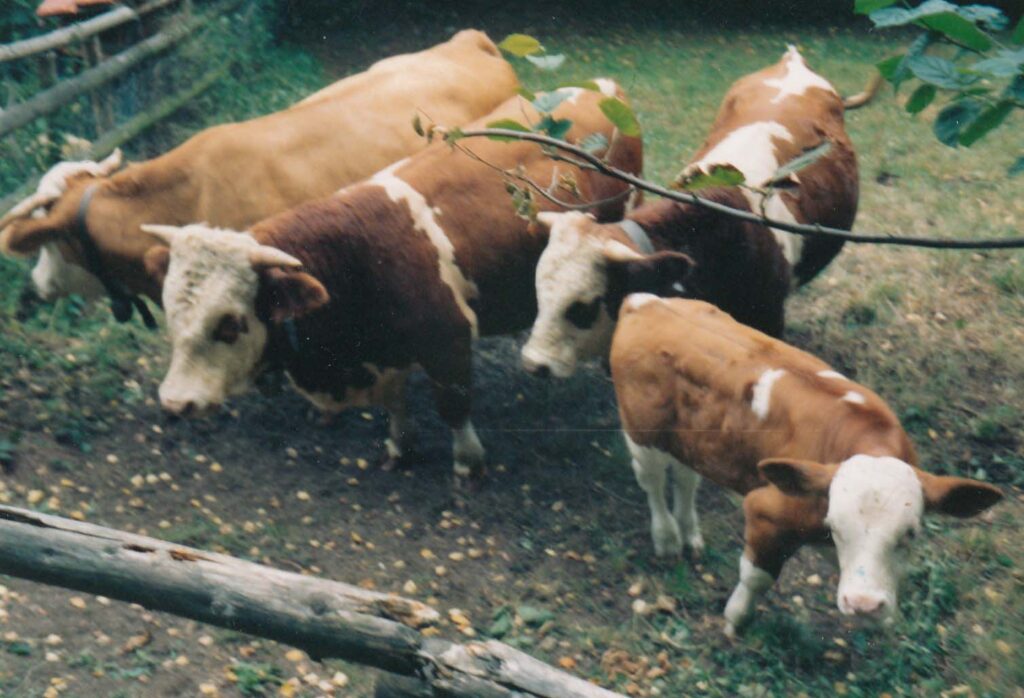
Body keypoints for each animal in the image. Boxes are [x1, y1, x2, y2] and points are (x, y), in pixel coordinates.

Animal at [141, 82, 643, 478]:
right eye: (172, 314)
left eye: (229, 323)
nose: (176, 402)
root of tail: (601, 87)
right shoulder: (386, 351)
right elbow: (394, 404)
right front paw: (399, 447)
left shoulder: (448, 338)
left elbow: (453, 405)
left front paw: (468, 463)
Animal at [610, 296, 1003, 634]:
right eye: (836, 526)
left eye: (910, 534)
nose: (863, 605)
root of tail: (644, 301)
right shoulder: (766, 510)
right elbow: (756, 576)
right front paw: (736, 619)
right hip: (642, 432)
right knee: (651, 479)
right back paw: (667, 538)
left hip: (689, 439)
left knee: (686, 477)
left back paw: (690, 533)